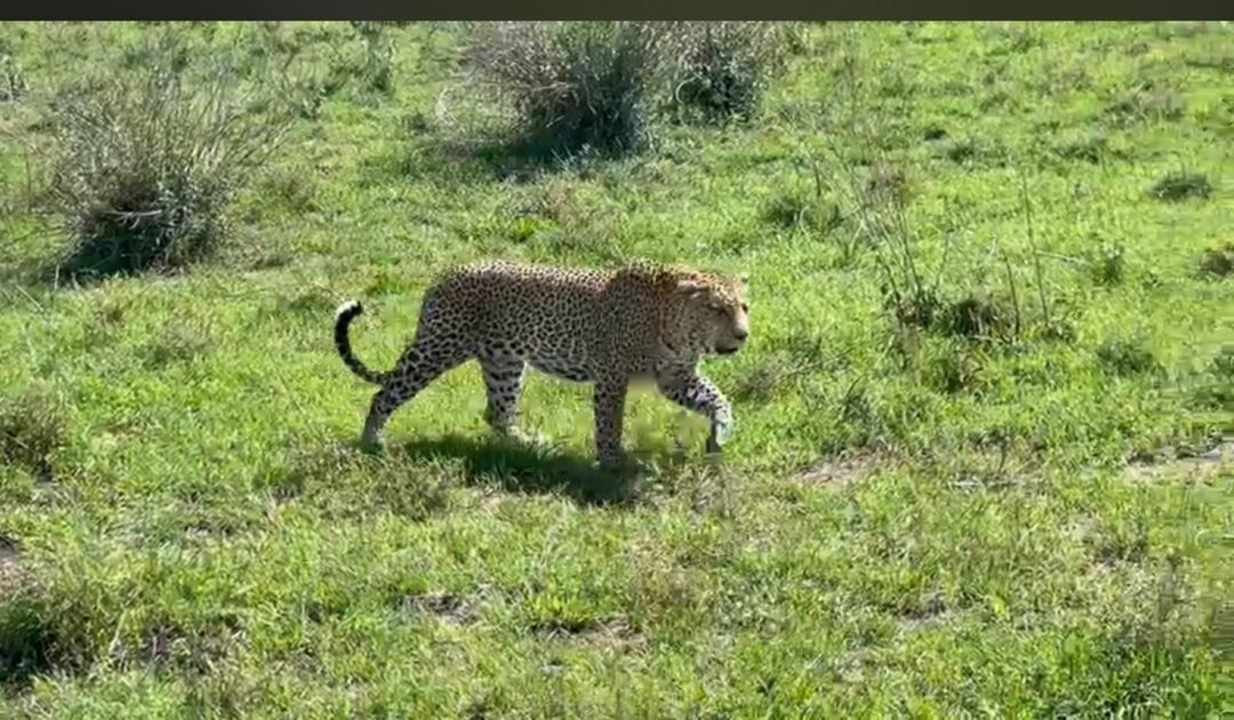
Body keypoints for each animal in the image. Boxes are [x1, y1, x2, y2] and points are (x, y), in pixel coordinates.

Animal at [333, 259, 750, 468]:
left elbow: (718, 399)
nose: (743, 335)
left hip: (504, 363)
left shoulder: (676, 377)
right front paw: (613, 462)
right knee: (385, 393)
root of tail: (443, 277)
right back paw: (372, 442)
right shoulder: (612, 377)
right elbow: (609, 423)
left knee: (497, 413)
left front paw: (719, 435)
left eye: (743, 307)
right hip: (438, 348)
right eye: (717, 310)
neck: (674, 325)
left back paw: (534, 445)